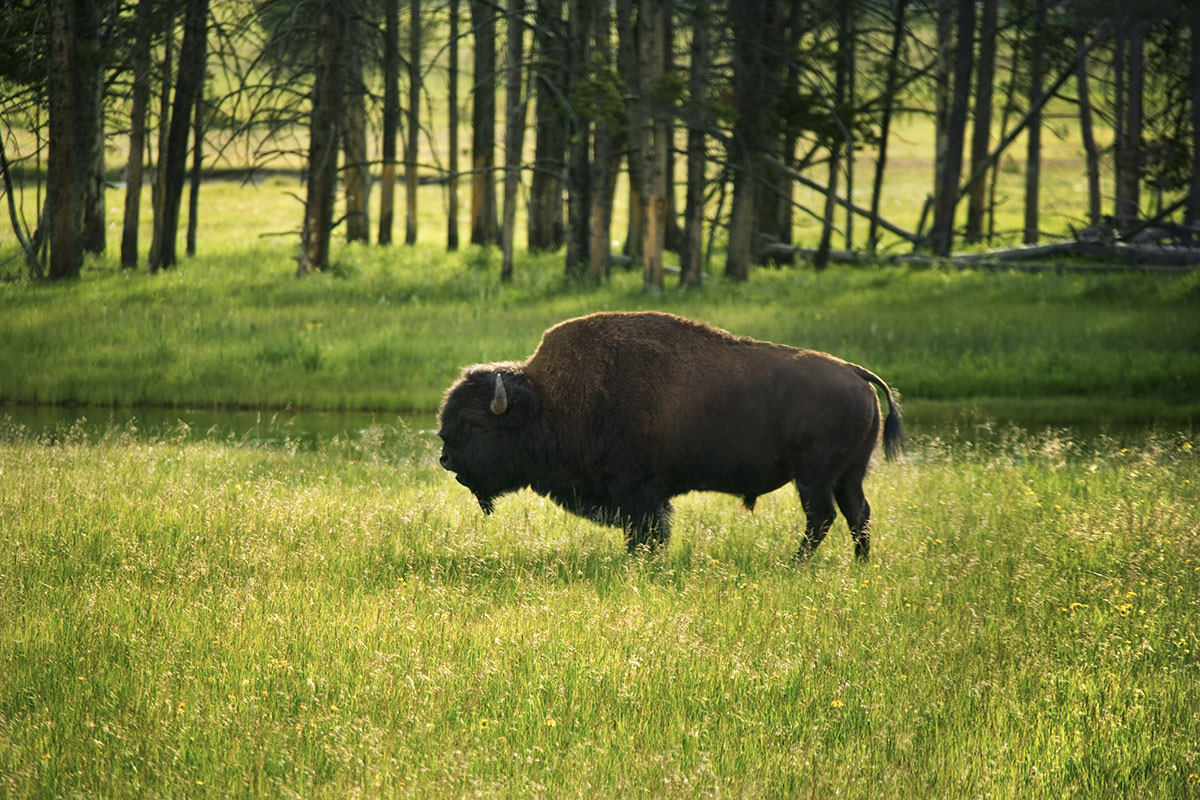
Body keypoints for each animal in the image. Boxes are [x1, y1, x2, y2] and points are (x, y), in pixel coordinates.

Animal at [434, 309, 902, 561]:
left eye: (473, 424)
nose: (445, 459)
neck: (549, 401)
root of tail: (856, 374)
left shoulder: (637, 492)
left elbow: (645, 530)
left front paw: (640, 559)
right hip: (849, 475)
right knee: (858, 514)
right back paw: (859, 566)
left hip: (814, 477)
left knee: (821, 517)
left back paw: (794, 564)